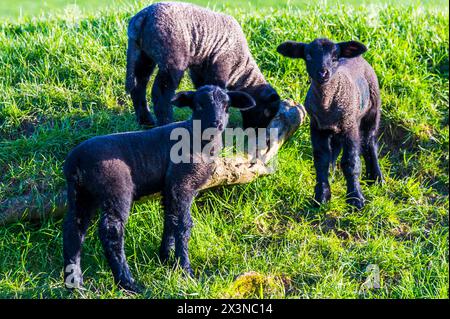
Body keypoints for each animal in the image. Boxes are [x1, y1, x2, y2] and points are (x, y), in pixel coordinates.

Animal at [61, 85, 255, 292]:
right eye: (199, 105)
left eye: (227, 106)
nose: (216, 123)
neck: (197, 139)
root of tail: (76, 160)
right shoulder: (181, 182)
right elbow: (183, 224)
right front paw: (185, 269)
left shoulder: (171, 187)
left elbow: (170, 219)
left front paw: (166, 257)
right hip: (115, 188)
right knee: (111, 231)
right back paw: (127, 282)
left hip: (81, 193)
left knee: (74, 229)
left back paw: (75, 283)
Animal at [125, 1, 282, 129]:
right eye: (267, 112)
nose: (256, 132)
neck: (240, 67)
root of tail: (142, 18)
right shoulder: (221, 65)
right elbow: (215, 88)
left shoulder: (199, 69)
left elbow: (202, 88)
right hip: (172, 57)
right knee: (161, 91)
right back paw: (165, 122)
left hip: (142, 54)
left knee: (138, 85)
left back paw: (146, 121)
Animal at [278, 38, 384, 210]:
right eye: (308, 56)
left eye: (335, 57)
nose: (323, 73)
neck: (327, 105)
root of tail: (359, 58)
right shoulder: (317, 127)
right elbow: (321, 160)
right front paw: (321, 196)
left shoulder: (350, 126)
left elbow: (350, 162)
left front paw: (356, 199)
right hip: (335, 129)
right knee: (335, 148)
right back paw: (332, 174)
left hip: (372, 110)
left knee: (370, 141)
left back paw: (376, 177)